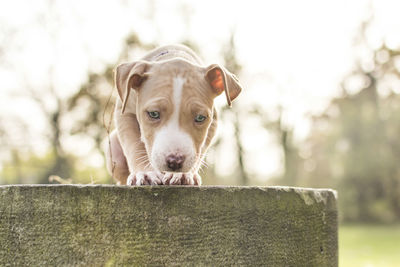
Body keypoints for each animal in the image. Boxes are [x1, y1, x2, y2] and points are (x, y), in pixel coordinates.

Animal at [105, 44, 241, 186]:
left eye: (200, 118)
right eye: (153, 114)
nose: (175, 161)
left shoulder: (213, 121)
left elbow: (201, 148)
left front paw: (183, 174)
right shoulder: (124, 111)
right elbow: (134, 144)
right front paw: (145, 172)